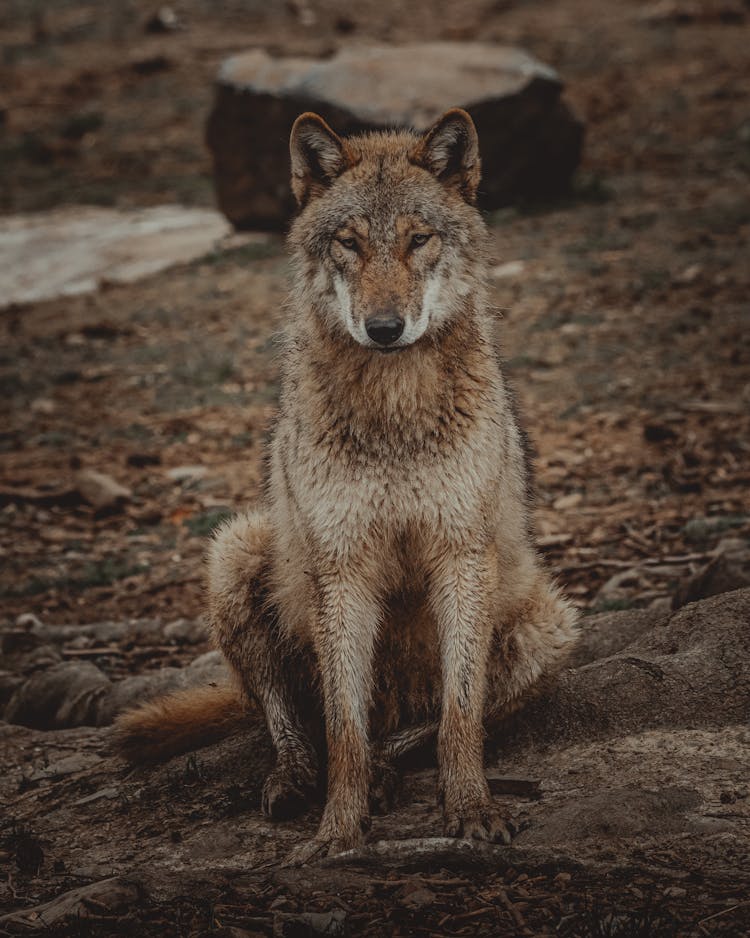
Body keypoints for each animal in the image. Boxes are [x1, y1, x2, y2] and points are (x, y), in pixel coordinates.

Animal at [114, 108, 580, 864]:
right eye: (350, 244)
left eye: (418, 239)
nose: (384, 328)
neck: (394, 407)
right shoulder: (343, 567)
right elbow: (342, 729)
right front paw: (336, 832)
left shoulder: (461, 555)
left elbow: (459, 715)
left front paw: (472, 810)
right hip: (236, 550)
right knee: (286, 717)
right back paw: (296, 781)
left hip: (553, 622)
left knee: (423, 724)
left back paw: (392, 771)